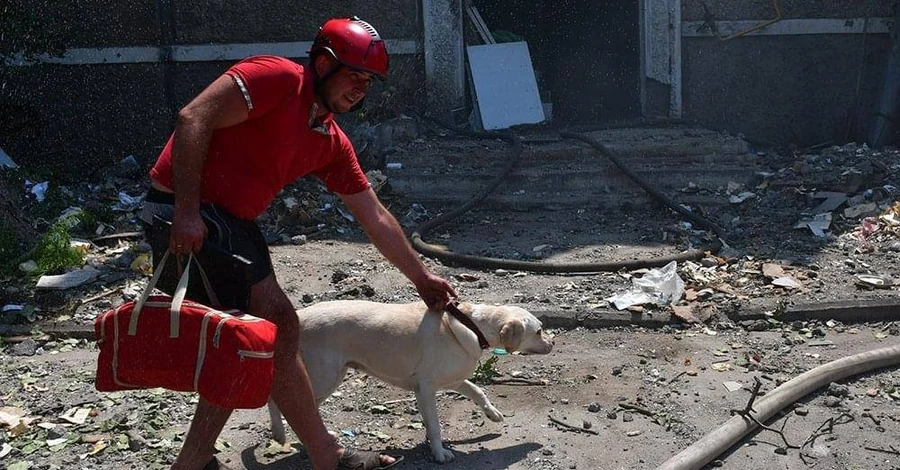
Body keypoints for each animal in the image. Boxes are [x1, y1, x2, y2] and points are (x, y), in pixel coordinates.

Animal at [264, 302, 552, 462]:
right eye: (538, 331)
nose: (552, 343)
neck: (474, 325)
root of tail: (298, 316)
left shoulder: (451, 380)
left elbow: (477, 391)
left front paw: (492, 414)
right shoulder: (426, 387)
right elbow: (435, 426)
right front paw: (439, 453)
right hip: (325, 376)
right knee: (285, 401)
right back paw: (285, 434)